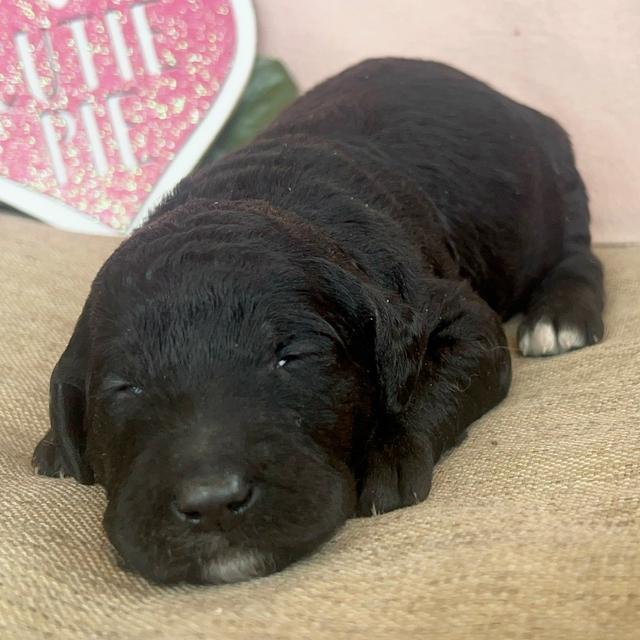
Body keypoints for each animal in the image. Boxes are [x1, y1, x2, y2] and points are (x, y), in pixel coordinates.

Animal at [33, 60, 604, 584]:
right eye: (124, 388)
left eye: (293, 358)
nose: (213, 502)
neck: (257, 196)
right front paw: (56, 445)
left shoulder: (462, 319)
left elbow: (435, 384)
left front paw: (388, 454)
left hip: (562, 182)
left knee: (578, 252)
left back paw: (561, 315)